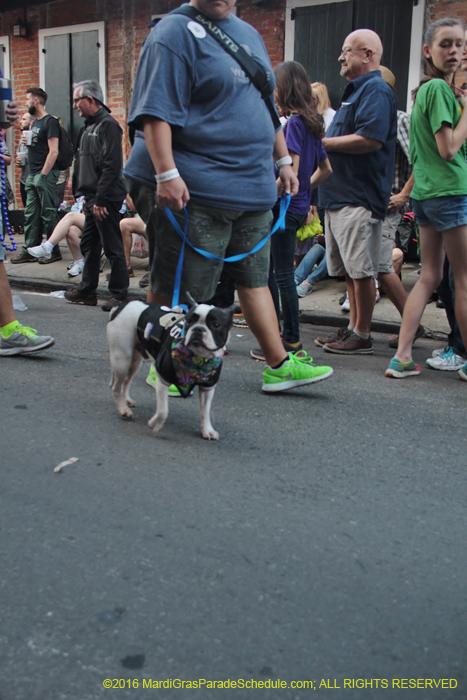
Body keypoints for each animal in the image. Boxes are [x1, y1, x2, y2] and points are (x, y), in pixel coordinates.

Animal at [107, 294, 236, 438]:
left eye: (216, 324)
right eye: (189, 321)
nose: (198, 329)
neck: (197, 358)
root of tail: (120, 307)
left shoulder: (207, 387)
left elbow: (206, 410)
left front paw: (207, 429)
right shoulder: (163, 379)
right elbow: (163, 411)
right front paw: (155, 426)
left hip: (134, 361)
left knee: (126, 381)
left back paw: (126, 401)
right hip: (122, 359)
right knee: (116, 386)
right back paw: (123, 409)